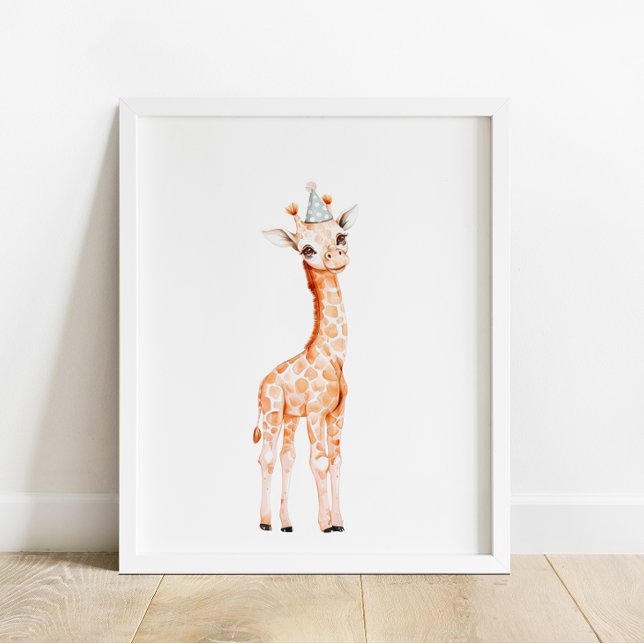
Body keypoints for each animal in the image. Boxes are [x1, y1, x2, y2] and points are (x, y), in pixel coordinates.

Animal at [252, 181, 358, 533]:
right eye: (307, 249)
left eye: (341, 236)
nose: (335, 256)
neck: (333, 358)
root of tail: (262, 385)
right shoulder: (314, 412)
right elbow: (320, 460)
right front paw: (325, 524)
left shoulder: (336, 414)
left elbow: (336, 460)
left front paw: (339, 521)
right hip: (272, 412)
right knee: (266, 457)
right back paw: (265, 522)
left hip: (289, 417)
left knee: (287, 457)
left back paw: (286, 524)